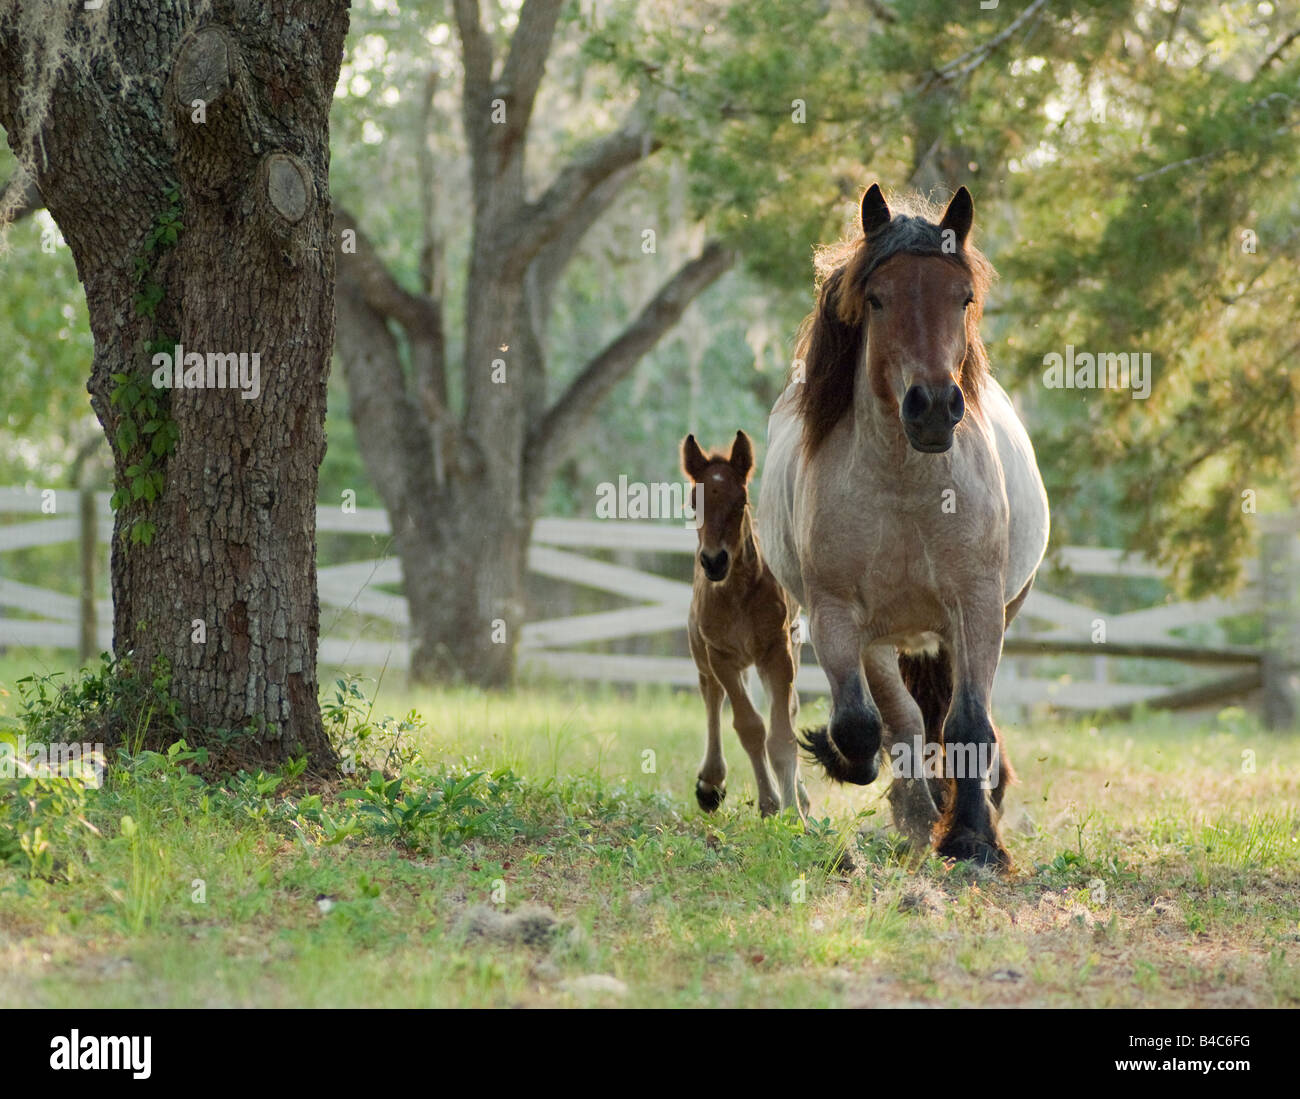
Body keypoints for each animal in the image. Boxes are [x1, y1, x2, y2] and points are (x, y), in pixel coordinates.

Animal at [683, 431, 809, 820]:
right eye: (694, 503)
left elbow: (782, 734)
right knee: (711, 694)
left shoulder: (777, 651)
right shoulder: (720, 655)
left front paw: (795, 814)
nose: (714, 562)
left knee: (789, 708)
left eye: (740, 502)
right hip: (703, 654)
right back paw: (711, 782)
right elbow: (749, 726)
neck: (737, 593)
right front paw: (770, 803)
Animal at [757, 184, 1049, 868]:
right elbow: (864, 725)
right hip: (880, 639)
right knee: (904, 722)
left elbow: (969, 723)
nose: (934, 408)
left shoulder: (977, 605)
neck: (910, 492)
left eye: (962, 297)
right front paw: (863, 774)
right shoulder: (840, 618)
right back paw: (915, 814)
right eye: (877, 298)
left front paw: (973, 840)